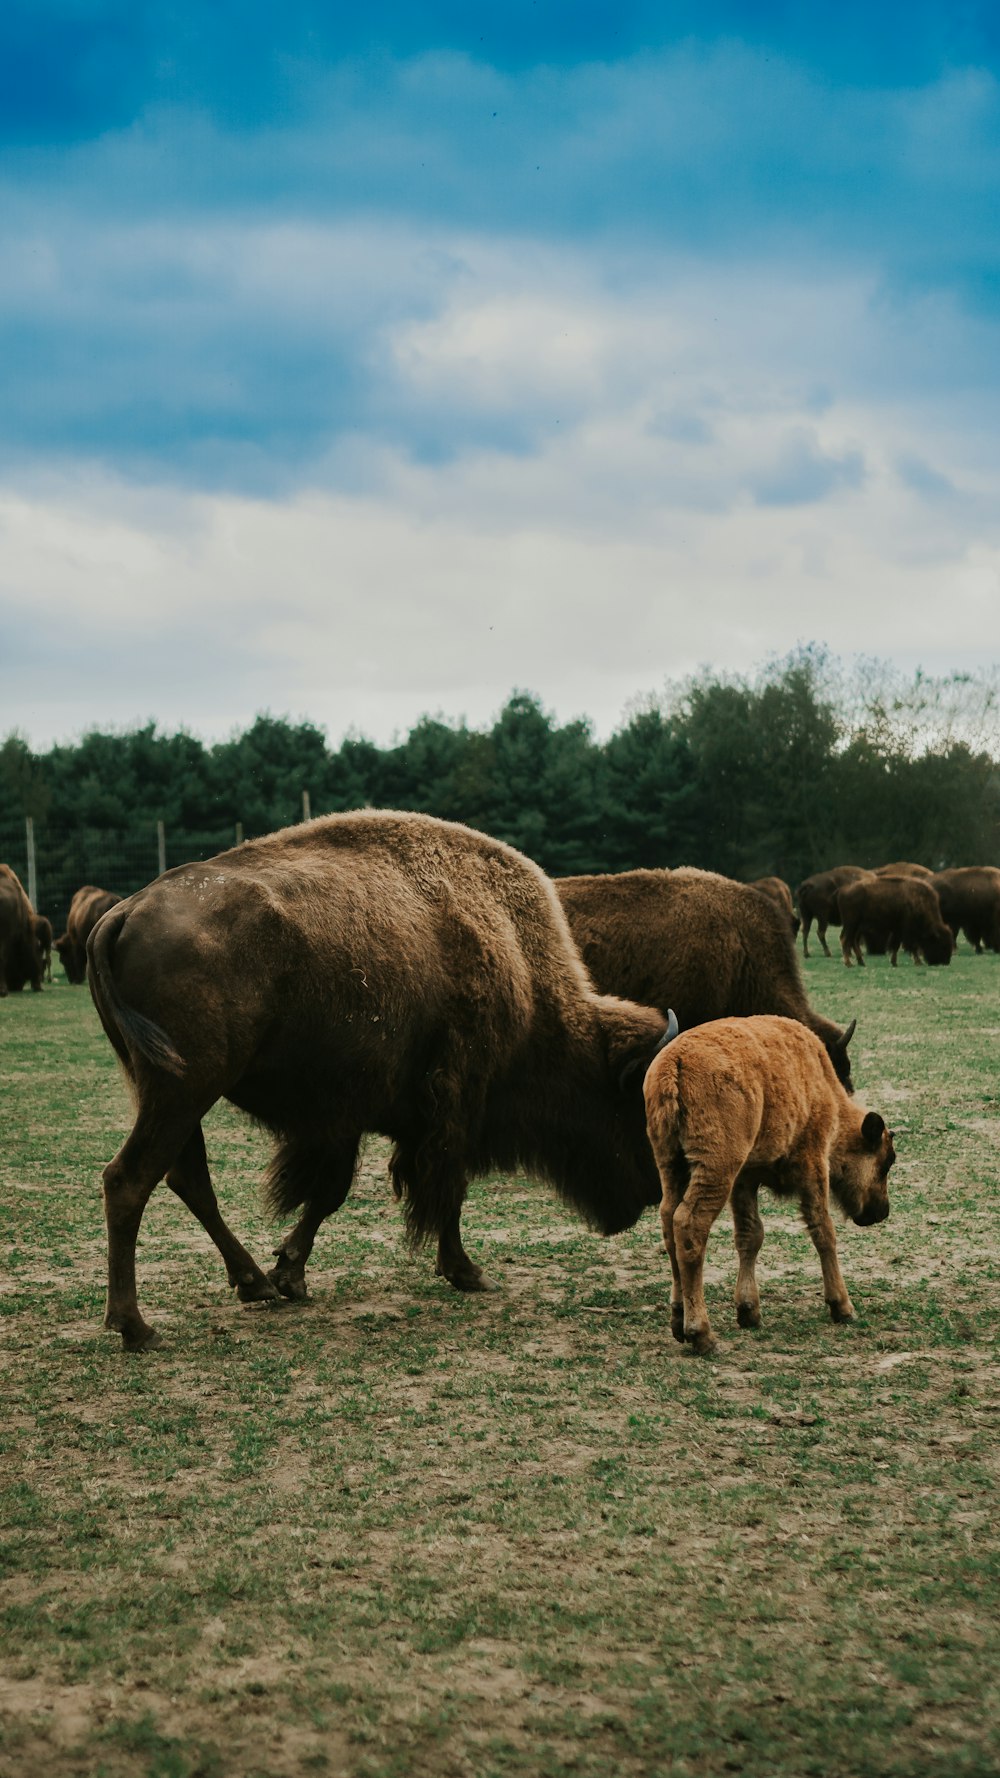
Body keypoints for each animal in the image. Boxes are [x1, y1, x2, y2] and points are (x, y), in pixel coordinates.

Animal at [89, 814, 672, 1351]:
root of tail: (124, 911)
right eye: (630, 1109)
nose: (649, 1194)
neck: (518, 967)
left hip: (165, 1089)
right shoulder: (453, 1105)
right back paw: (136, 1327)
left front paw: (289, 1274)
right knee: (129, 1180)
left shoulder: (348, 1117)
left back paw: (253, 1283)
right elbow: (445, 1187)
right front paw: (468, 1272)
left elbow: (331, 1192)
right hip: (184, 1091)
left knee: (186, 1178)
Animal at [640, 1024, 889, 1351]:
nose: (882, 1211)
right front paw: (842, 1307)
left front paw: (748, 1311)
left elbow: (751, 1235)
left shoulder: (745, 1178)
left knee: (669, 1224)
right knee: (690, 1226)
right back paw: (702, 1334)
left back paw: (679, 1321)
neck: (822, 1084)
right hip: (716, 1168)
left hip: (671, 1166)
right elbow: (823, 1231)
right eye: (886, 1162)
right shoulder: (813, 1163)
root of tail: (674, 1063)